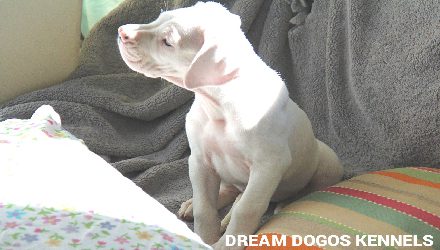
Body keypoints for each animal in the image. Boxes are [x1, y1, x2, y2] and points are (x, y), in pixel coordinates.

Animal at [117, 1, 344, 248]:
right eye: (158, 19)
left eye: (167, 41)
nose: (122, 31)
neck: (220, 107)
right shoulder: (200, 160)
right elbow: (204, 207)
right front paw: (205, 238)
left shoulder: (268, 166)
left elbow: (246, 209)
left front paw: (228, 243)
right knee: (228, 191)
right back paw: (193, 204)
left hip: (327, 161)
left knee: (295, 191)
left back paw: (284, 203)